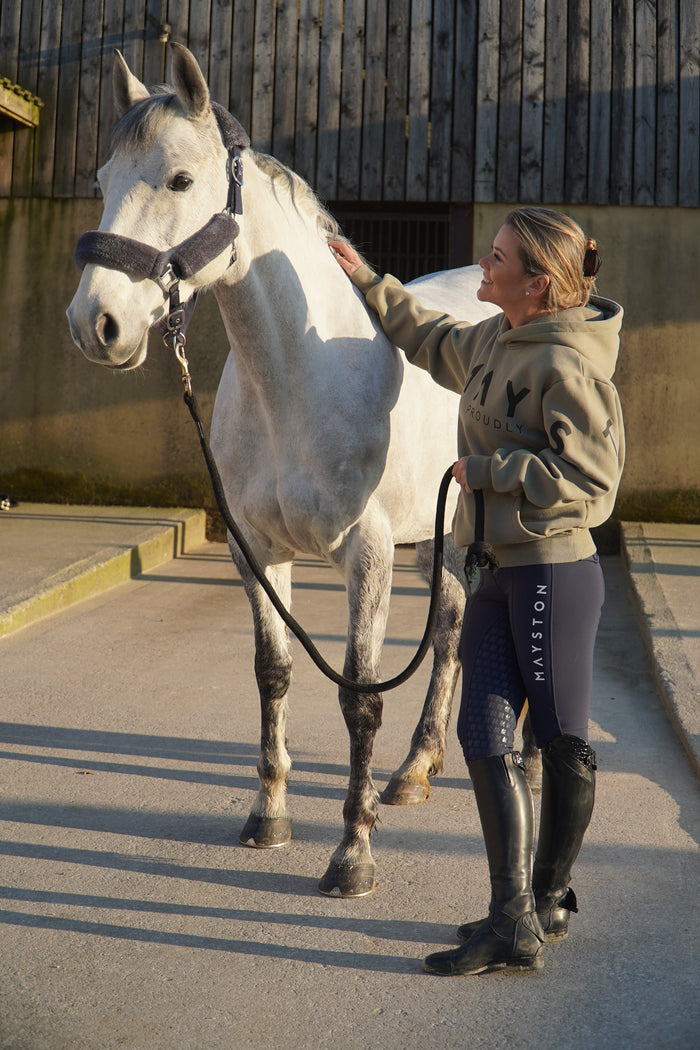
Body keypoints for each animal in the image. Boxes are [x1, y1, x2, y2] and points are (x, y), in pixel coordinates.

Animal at [67, 43, 503, 898]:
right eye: (102, 180)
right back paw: (415, 768)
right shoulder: (256, 551)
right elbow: (273, 672)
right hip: (436, 535)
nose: (95, 324)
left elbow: (358, 697)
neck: (299, 379)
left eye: (180, 179)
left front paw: (352, 855)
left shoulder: (367, 554)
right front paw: (268, 816)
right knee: (450, 619)